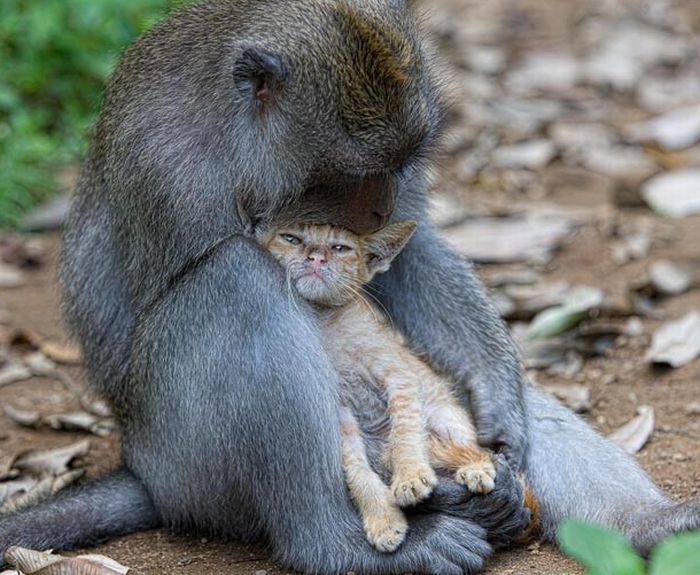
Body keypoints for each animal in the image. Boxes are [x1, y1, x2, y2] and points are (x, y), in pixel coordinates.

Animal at [258, 220, 498, 552]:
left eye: (340, 248)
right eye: (291, 239)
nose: (315, 258)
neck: (326, 321)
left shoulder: (399, 377)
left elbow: (405, 434)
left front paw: (410, 476)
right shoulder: (340, 413)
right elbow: (356, 471)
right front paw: (383, 519)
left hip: (444, 415)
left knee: (476, 449)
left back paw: (476, 468)